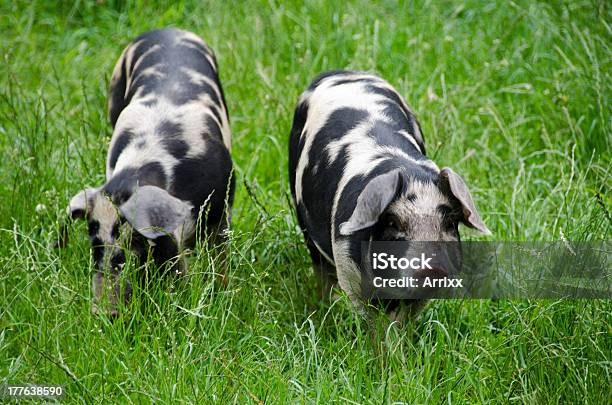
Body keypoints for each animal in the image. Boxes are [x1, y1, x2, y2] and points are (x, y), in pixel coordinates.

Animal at [62, 28, 233, 316]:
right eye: (96, 249)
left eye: (130, 249)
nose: (104, 312)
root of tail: (169, 29)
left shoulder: (221, 209)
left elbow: (219, 259)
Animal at [288, 71, 492, 318]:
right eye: (393, 223)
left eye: (450, 224)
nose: (432, 269)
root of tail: (341, 72)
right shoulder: (348, 270)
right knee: (320, 267)